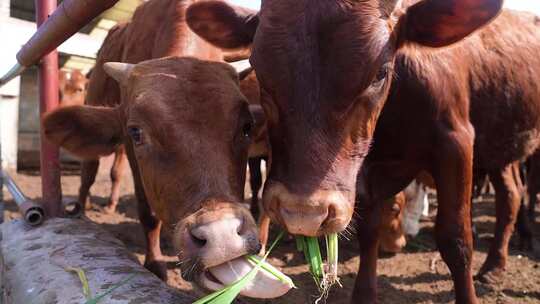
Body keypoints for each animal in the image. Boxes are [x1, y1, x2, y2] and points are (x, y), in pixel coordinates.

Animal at [186, 0, 506, 302]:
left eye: (380, 73)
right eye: (260, 72)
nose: (303, 213)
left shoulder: (455, 143)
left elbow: (456, 239)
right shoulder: (364, 174)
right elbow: (369, 231)